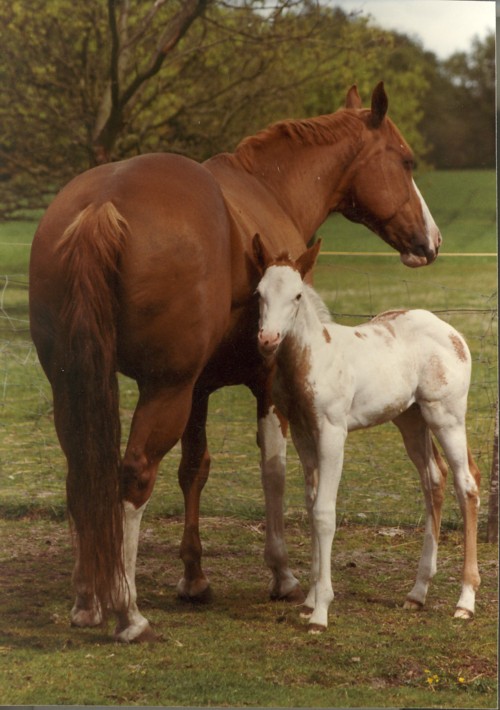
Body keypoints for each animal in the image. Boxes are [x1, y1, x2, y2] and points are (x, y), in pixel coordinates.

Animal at [29, 80, 440, 644]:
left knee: (81, 475)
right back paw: (128, 611)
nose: (431, 241)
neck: (269, 188)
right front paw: (283, 574)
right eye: (406, 159)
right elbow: (274, 469)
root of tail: (101, 202)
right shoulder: (266, 383)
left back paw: (87, 599)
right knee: (133, 476)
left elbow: (194, 469)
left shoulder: (199, 390)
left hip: (77, 385)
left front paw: (194, 577)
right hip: (164, 390)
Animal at [254, 236, 480, 636]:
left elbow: (325, 512)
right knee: (433, 480)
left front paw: (320, 612)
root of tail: (453, 334)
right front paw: (310, 600)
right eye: (259, 293)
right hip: (411, 420)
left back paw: (465, 601)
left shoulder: (333, 432)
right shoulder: (302, 432)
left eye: (297, 295)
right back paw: (417, 593)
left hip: (446, 415)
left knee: (465, 484)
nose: (267, 339)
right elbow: (312, 505)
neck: (312, 357)